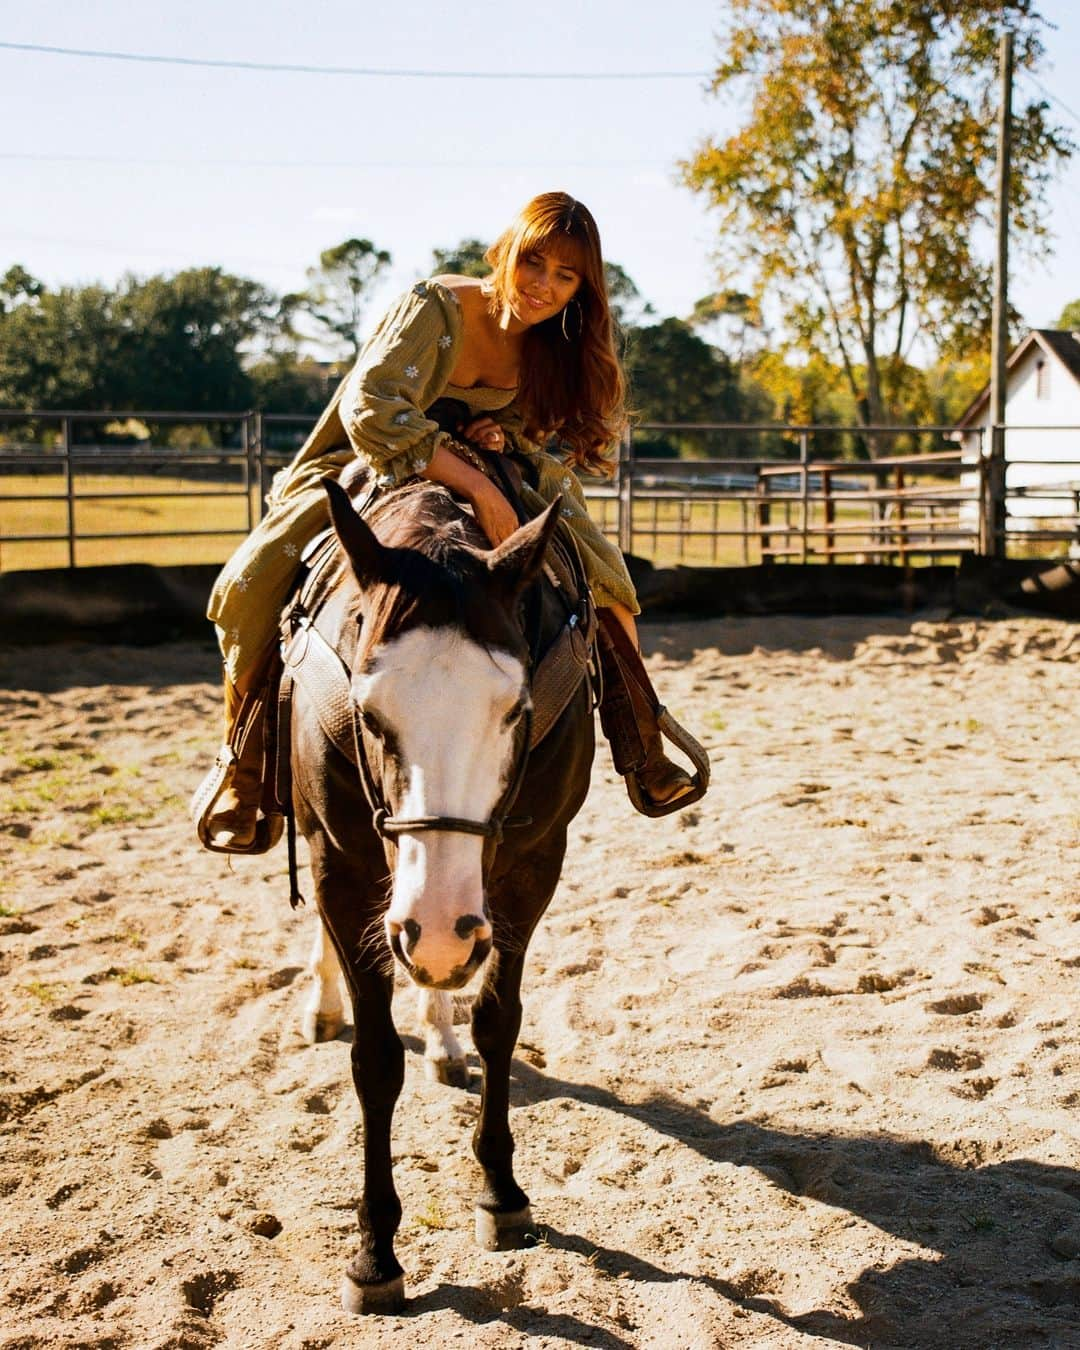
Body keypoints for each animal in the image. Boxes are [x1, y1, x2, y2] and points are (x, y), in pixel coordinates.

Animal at [282, 472, 594, 1306]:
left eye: (517, 708)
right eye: (366, 710)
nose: (442, 931)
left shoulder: (530, 868)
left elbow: (499, 1022)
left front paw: (501, 1194)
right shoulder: (340, 864)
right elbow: (374, 1061)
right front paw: (374, 1251)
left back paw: (442, 1036)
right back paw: (324, 1002)